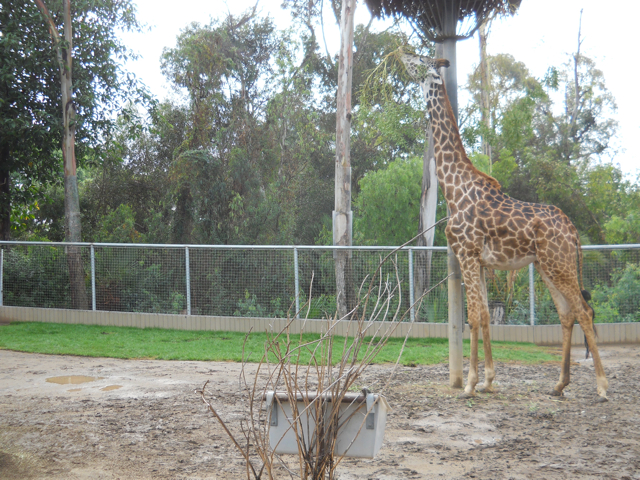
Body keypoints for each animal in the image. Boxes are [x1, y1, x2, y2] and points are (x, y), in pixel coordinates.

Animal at [400, 52, 608, 402]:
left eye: (419, 58)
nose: (400, 52)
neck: (454, 188)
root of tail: (574, 231)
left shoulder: (467, 255)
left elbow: (473, 315)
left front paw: (469, 384)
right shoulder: (483, 263)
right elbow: (484, 315)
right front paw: (488, 380)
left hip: (560, 265)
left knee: (585, 311)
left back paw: (603, 387)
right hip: (549, 267)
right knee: (568, 313)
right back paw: (559, 384)